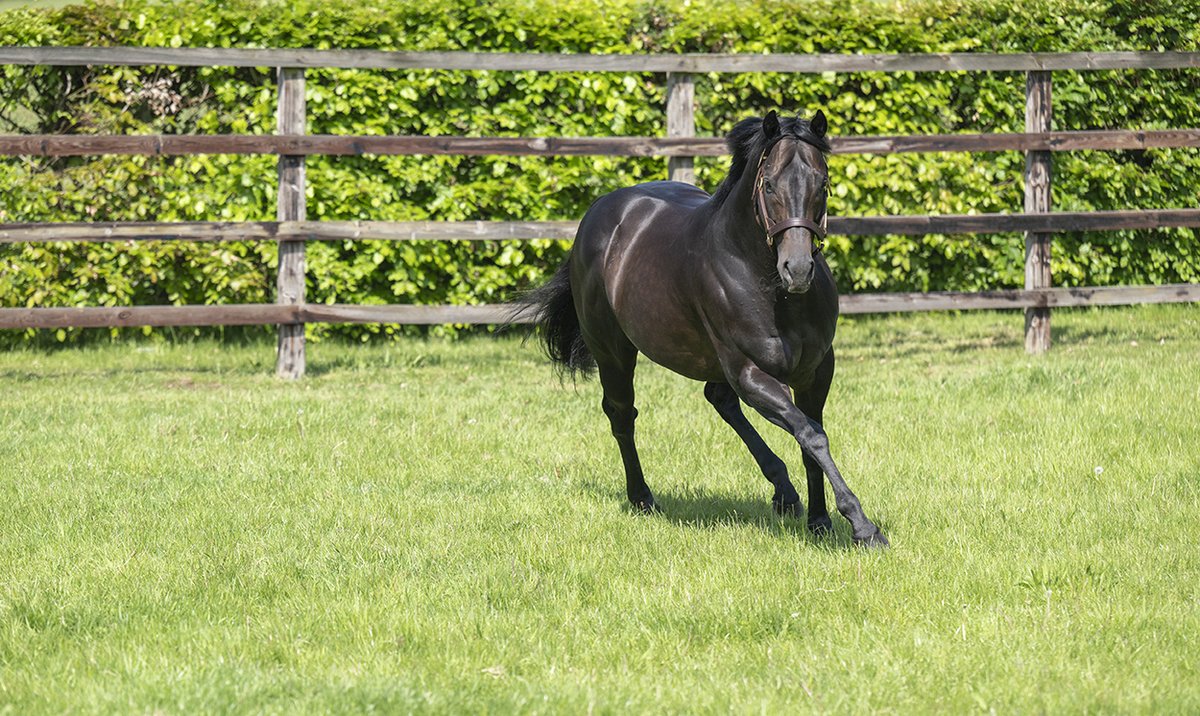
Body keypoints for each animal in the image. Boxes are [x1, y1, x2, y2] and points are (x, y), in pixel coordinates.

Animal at [525, 110, 888, 547]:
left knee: (719, 399)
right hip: (614, 352)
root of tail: (599, 213)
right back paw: (643, 499)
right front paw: (863, 526)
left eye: (823, 183)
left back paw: (784, 493)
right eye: (769, 184)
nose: (798, 269)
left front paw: (819, 521)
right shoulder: (751, 373)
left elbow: (810, 437)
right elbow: (811, 435)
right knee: (622, 414)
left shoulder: (816, 372)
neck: (772, 289)